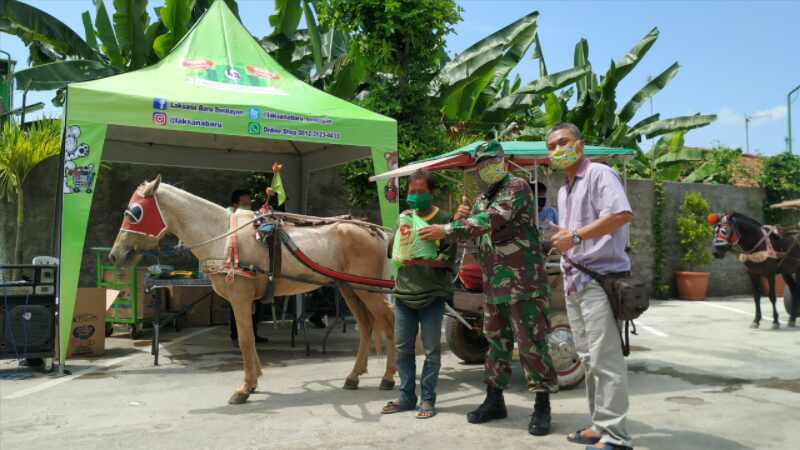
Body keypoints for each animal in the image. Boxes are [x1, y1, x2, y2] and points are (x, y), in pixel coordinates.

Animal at [109, 176, 396, 404]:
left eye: (134, 213)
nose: (115, 255)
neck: (224, 238)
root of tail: (374, 231)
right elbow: (248, 340)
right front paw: (254, 381)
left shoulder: (240, 298)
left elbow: (245, 340)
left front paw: (244, 389)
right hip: (350, 287)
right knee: (367, 324)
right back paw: (354, 376)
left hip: (367, 288)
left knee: (388, 321)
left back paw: (389, 377)